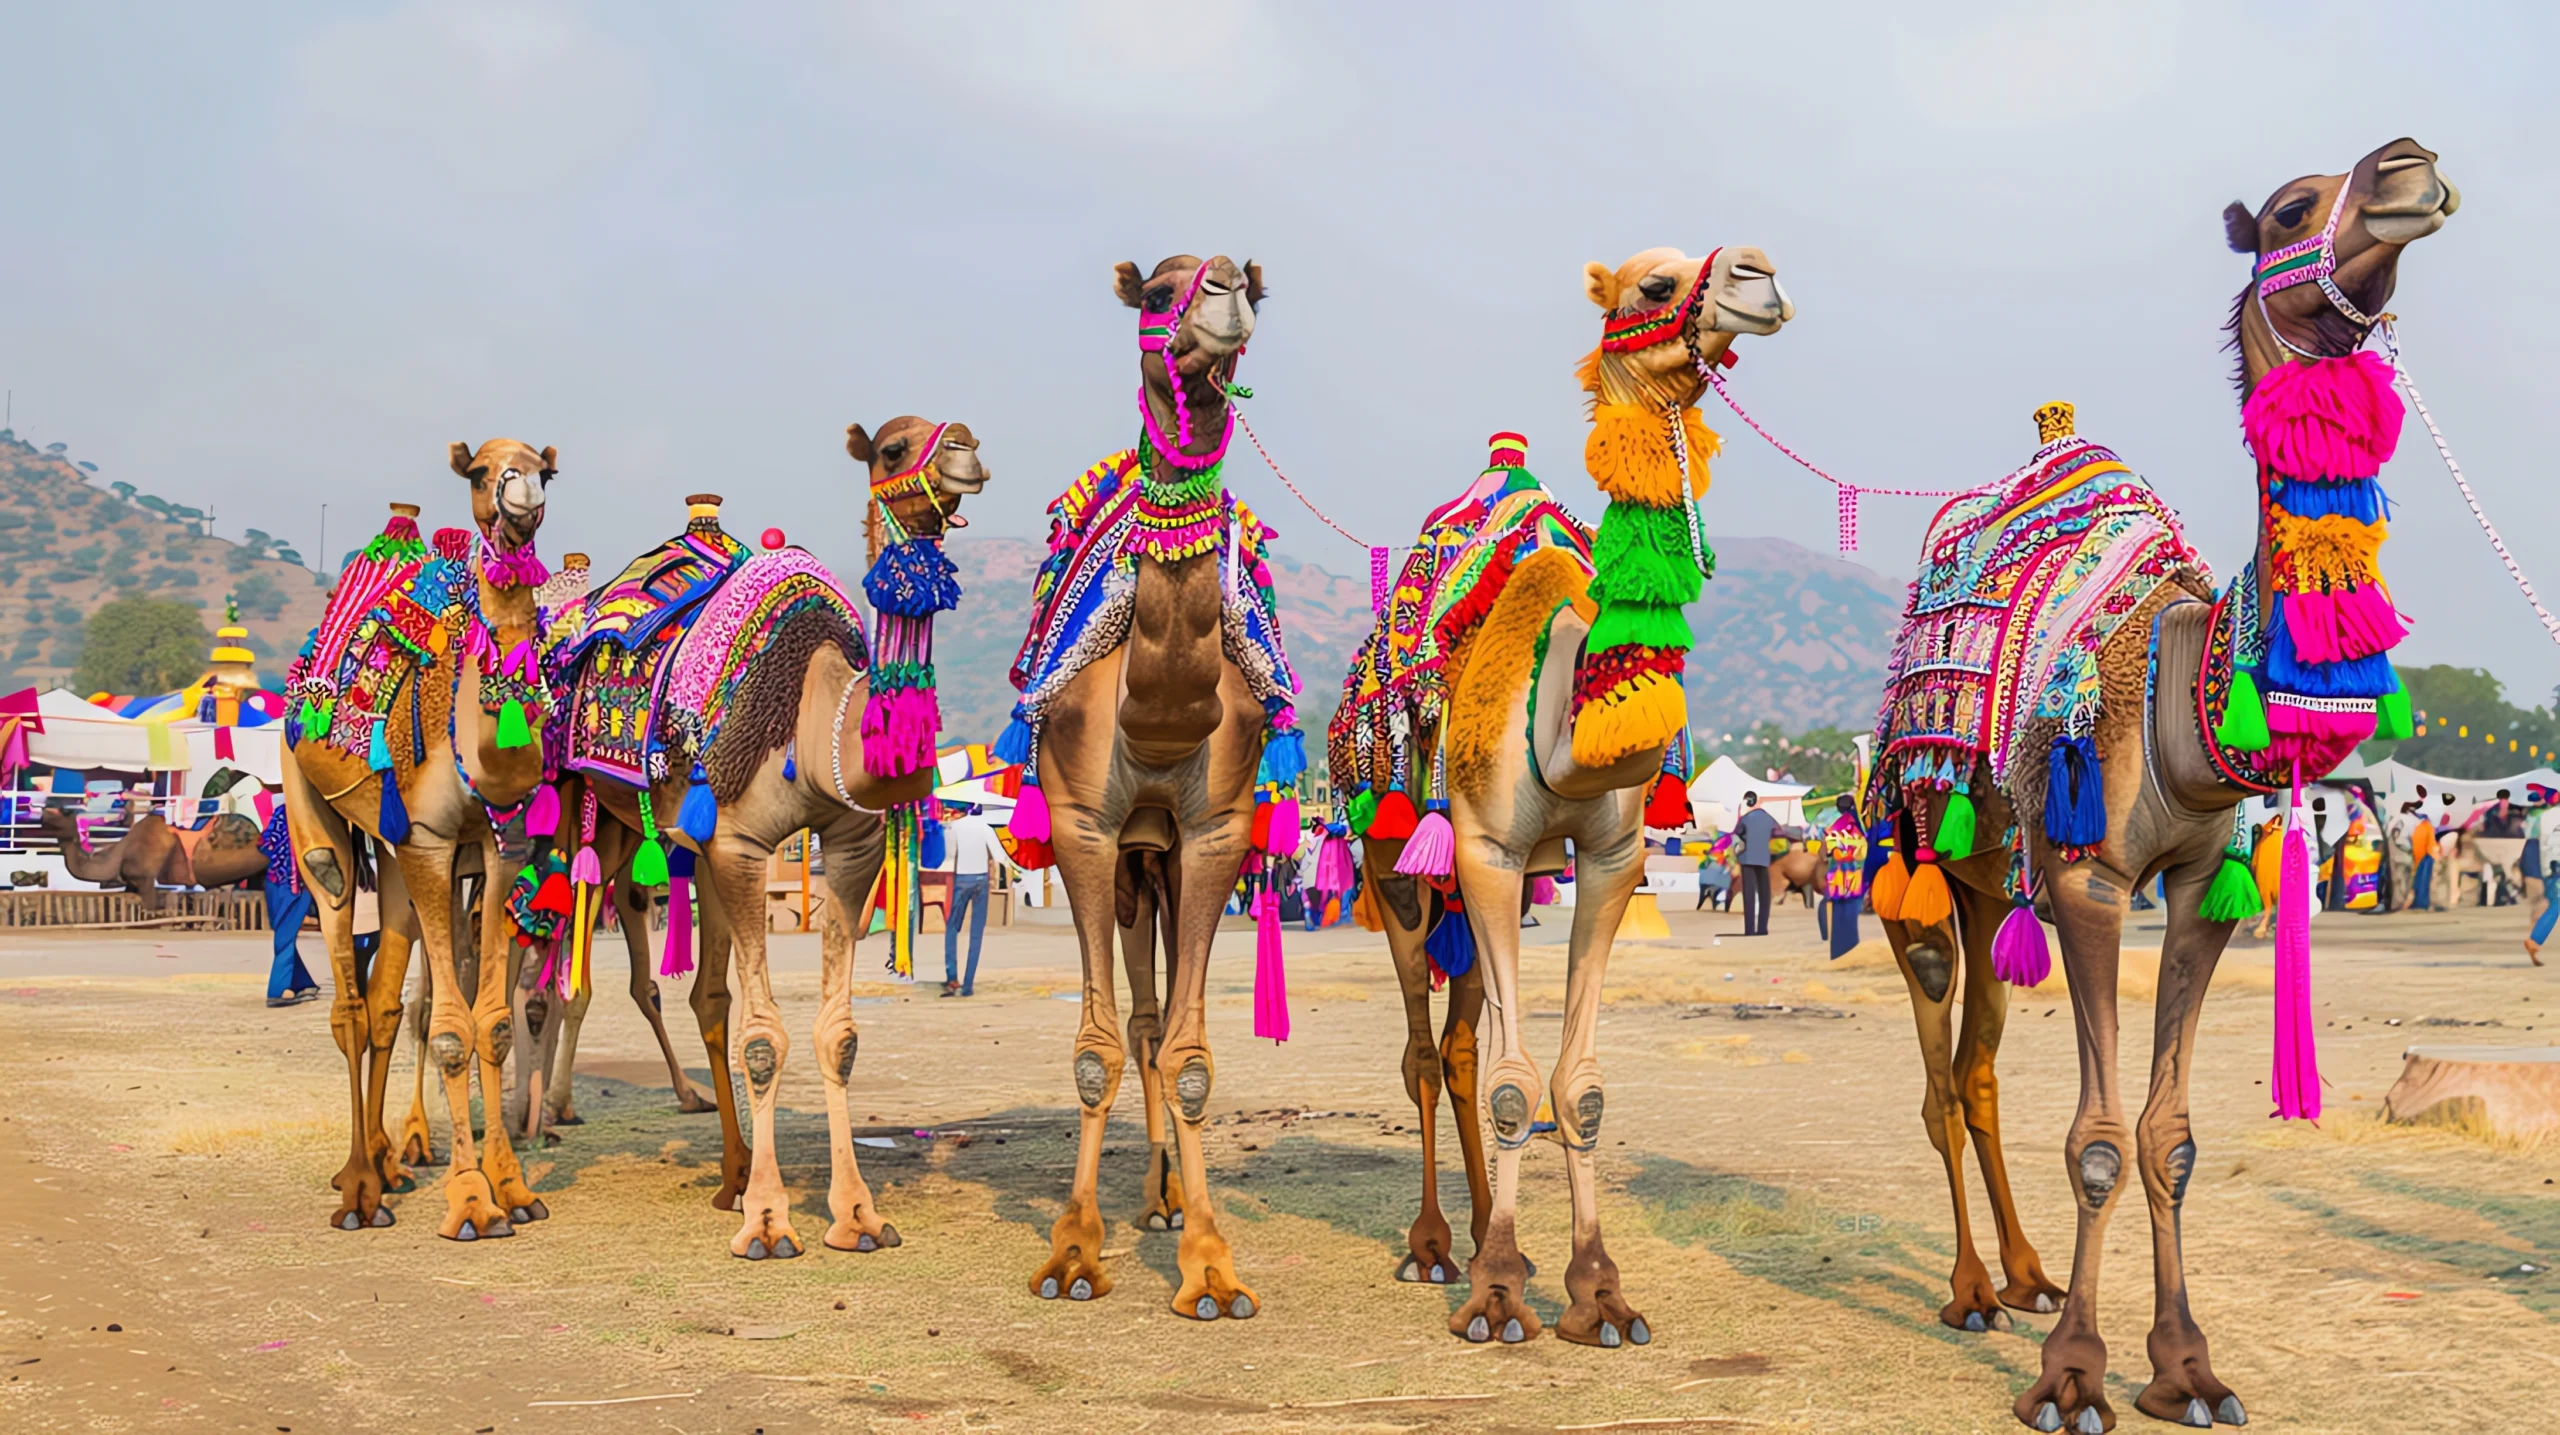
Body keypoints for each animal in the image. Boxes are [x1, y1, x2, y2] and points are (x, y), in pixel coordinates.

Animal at [279, 440, 560, 1240]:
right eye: (481, 471)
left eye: (545, 469)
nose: (522, 493)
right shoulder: (433, 843)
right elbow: (450, 1029)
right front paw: (469, 1202)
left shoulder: (500, 849)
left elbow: (489, 1023)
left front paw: (513, 1189)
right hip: (323, 822)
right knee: (349, 997)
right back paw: (357, 1190)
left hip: (396, 853)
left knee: (383, 1004)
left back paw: (380, 1168)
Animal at [556, 418, 987, 1258]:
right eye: (894, 446)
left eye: (955, 430)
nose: (966, 449)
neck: (814, 710)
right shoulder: (743, 845)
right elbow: (763, 1037)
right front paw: (767, 1221)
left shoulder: (843, 845)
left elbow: (835, 1035)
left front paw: (855, 1215)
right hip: (567, 801)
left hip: (673, 840)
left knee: (703, 996)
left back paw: (729, 1173)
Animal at [1331, 247, 1791, 1344]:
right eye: (1651, 285)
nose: (1757, 276)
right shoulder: (1488, 849)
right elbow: (1512, 1084)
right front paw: (1499, 1296)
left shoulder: (1610, 857)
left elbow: (1573, 1087)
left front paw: (1596, 1290)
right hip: (1396, 859)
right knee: (1426, 1053)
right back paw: (1435, 1247)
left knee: (1459, 1044)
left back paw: (1488, 1234)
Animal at [1865, 139, 2454, 1432]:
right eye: (2290, 209)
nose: (2412, 167)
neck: (2186, 683)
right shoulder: (2091, 878)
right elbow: (2094, 1133)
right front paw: (2072, 1377)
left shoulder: (2196, 885)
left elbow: (2167, 1133)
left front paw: (2185, 1368)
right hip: (1915, 857)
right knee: (1934, 1067)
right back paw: (1972, 1290)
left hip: (1998, 882)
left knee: (1979, 1062)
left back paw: (2026, 1275)